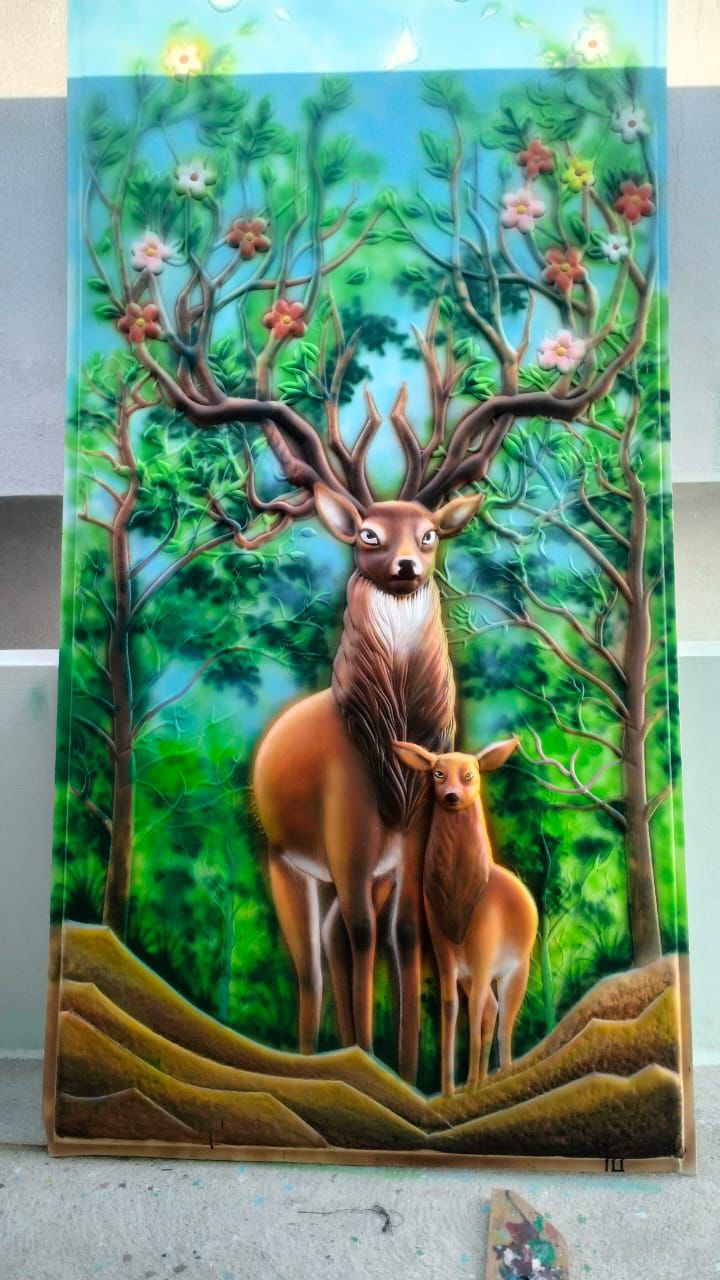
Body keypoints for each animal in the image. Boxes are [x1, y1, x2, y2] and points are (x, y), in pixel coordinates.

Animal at [252, 482, 481, 1081]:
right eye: (369, 535)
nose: (406, 566)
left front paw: (406, 1067)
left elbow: (405, 933)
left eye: (429, 534)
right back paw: (313, 1054)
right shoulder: (347, 840)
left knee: (333, 936)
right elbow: (363, 936)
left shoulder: (412, 841)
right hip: (286, 861)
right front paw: (370, 1057)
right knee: (310, 964)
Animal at [391, 738, 538, 1096]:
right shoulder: (443, 950)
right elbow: (450, 1007)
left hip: (518, 966)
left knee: (505, 1017)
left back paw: (502, 1074)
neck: (462, 898)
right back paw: (484, 1079)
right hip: (472, 974)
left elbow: (476, 1013)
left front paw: (470, 1086)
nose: (451, 796)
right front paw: (449, 1091)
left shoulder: (484, 951)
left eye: (470, 774)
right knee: (491, 1009)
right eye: (438, 773)